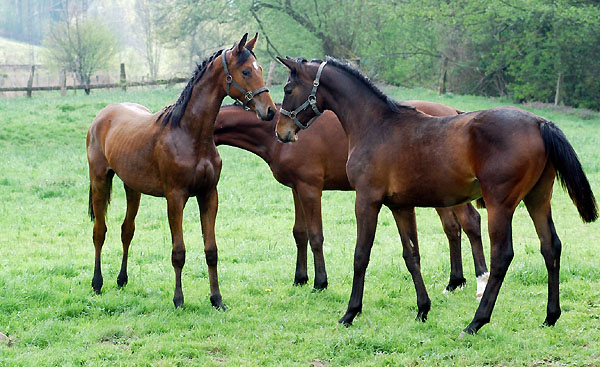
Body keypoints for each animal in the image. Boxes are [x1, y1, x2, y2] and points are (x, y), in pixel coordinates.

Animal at [85, 34, 276, 310]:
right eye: (246, 71)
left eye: (260, 69)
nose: (269, 111)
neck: (189, 134)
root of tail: (102, 116)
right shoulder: (175, 198)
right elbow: (179, 252)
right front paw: (178, 300)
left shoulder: (209, 195)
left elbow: (211, 250)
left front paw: (217, 299)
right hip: (99, 181)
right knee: (99, 231)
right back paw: (97, 283)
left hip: (132, 188)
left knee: (126, 230)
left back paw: (122, 280)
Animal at [214, 103, 488, 300]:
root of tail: (453, 112)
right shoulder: (296, 189)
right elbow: (299, 233)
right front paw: (300, 278)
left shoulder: (310, 189)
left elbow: (315, 236)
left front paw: (320, 282)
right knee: (452, 228)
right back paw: (454, 282)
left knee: (470, 222)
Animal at [274, 56, 596, 334]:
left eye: (288, 89)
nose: (281, 131)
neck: (376, 125)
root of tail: (540, 122)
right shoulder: (400, 206)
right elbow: (411, 255)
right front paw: (422, 309)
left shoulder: (366, 200)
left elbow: (360, 255)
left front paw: (350, 313)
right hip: (537, 199)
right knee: (550, 247)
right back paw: (550, 316)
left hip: (500, 204)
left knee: (502, 255)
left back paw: (476, 322)